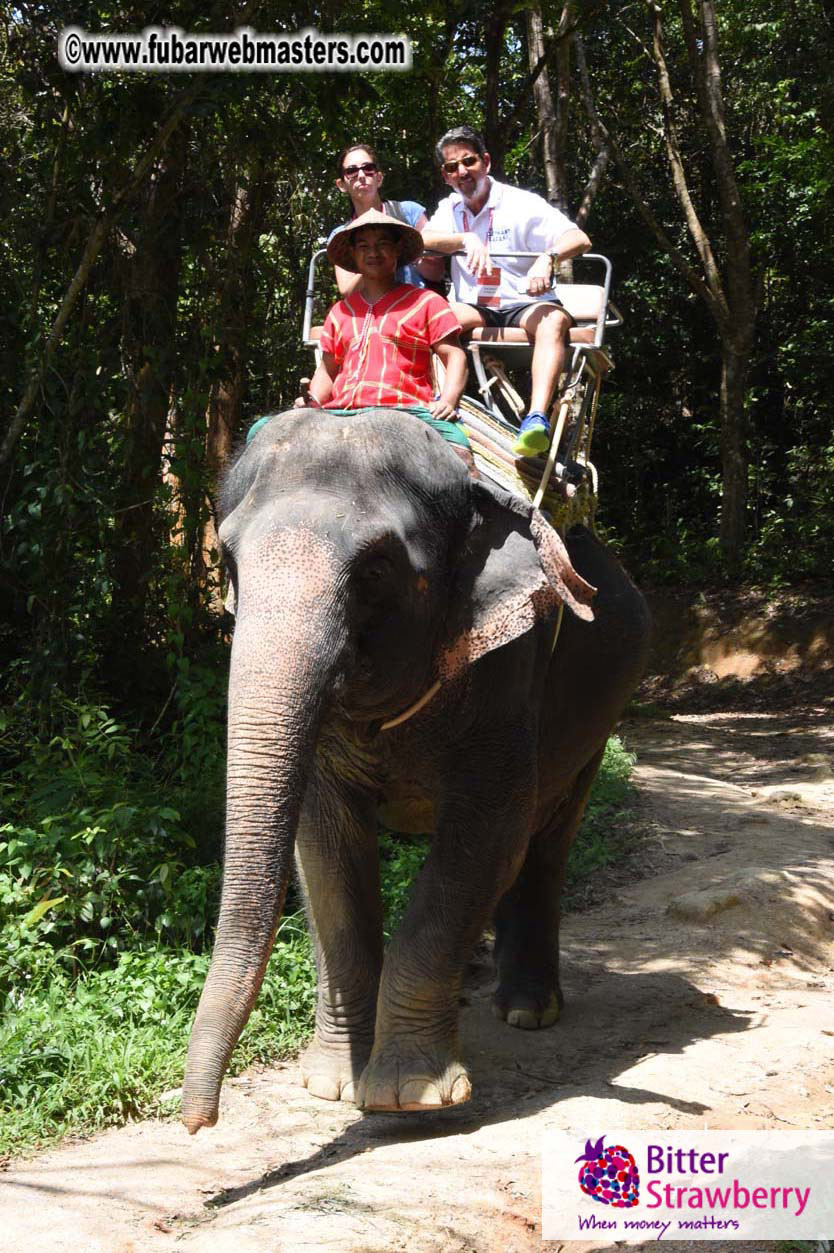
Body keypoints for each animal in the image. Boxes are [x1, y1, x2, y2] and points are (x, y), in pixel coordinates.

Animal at [181, 406, 650, 1133]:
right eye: (228, 562)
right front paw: (332, 1084)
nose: (197, 1120)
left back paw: (528, 1011)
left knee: (546, 837)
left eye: (376, 568)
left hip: (601, 714)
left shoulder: (509, 666)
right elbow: (325, 850)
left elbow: (486, 834)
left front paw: (410, 1095)